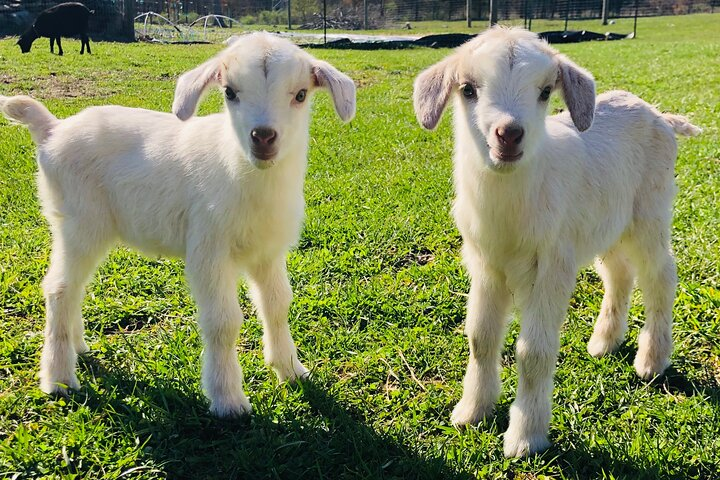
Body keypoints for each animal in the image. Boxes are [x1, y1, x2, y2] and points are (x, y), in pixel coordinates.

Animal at [0, 32, 356, 417]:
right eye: (230, 92)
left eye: (301, 94)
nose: (262, 136)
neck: (244, 173)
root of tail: (53, 129)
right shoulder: (208, 249)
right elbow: (223, 322)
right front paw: (228, 400)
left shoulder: (268, 252)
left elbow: (277, 305)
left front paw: (291, 370)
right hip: (79, 221)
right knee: (59, 288)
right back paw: (59, 378)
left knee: (74, 287)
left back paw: (78, 347)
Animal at [413, 27, 700, 457]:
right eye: (467, 89)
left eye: (546, 91)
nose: (509, 134)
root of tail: (659, 115)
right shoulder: (485, 264)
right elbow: (480, 338)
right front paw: (471, 412)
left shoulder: (551, 266)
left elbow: (533, 352)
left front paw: (525, 438)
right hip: (604, 222)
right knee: (619, 274)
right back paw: (604, 342)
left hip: (650, 213)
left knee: (660, 277)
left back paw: (651, 360)